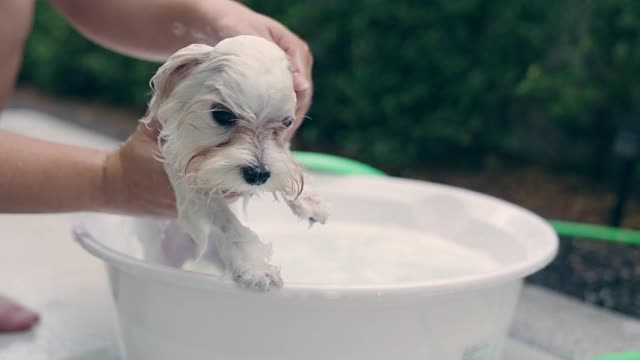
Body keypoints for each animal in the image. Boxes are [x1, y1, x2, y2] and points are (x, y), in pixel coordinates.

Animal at [141, 35, 330, 292]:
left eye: (287, 123)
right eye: (222, 114)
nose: (258, 174)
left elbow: (285, 157)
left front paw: (310, 200)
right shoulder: (184, 172)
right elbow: (225, 220)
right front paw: (254, 266)